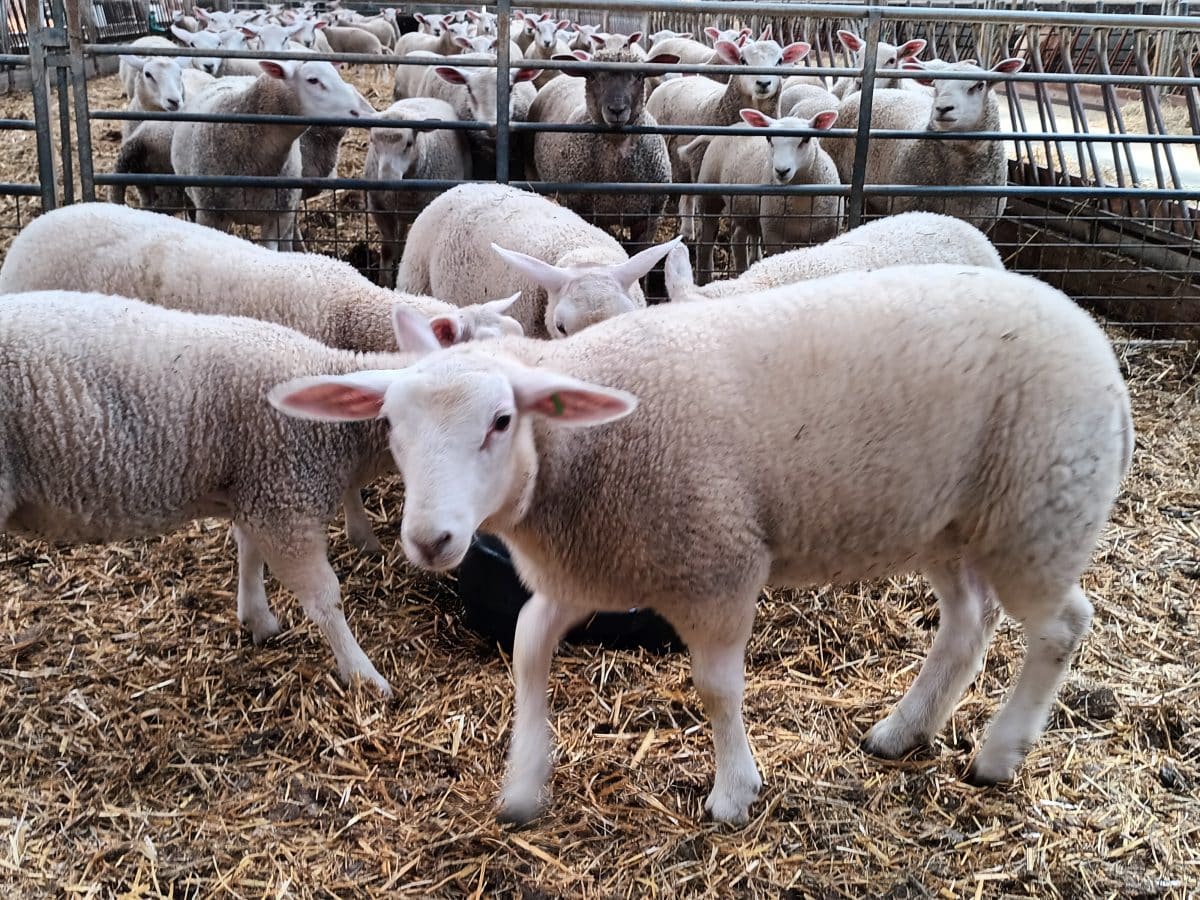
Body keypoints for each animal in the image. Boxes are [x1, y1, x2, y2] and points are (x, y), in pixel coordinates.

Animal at [0, 291, 435, 696]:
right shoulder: (284, 503)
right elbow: (325, 599)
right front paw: (364, 675)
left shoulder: (256, 490)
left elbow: (249, 554)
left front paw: (257, 619)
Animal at [272, 264, 1134, 825]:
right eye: (390, 424)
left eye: (501, 421)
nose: (430, 539)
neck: (581, 453)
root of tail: (1090, 333)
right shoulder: (583, 572)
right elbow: (526, 654)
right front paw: (523, 784)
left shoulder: (718, 566)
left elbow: (717, 689)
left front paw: (733, 793)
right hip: (946, 520)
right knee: (967, 623)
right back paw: (902, 730)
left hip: (1039, 510)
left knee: (1062, 626)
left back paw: (999, 752)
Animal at [365, 98, 473, 288]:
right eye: (372, 141)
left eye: (408, 144)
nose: (387, 179)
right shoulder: (379, 209)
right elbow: (387, 249)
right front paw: (384, 282)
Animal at [686, 108, 842, 279]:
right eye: (768, 138)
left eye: (806, 139)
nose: (781, 171)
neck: (801, 200)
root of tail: (735, 125)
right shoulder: (774, 236)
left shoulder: (826, 234)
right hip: (709, 194)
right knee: (704, 240)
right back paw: (704, 277)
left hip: (745, 209)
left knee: (738, 237)